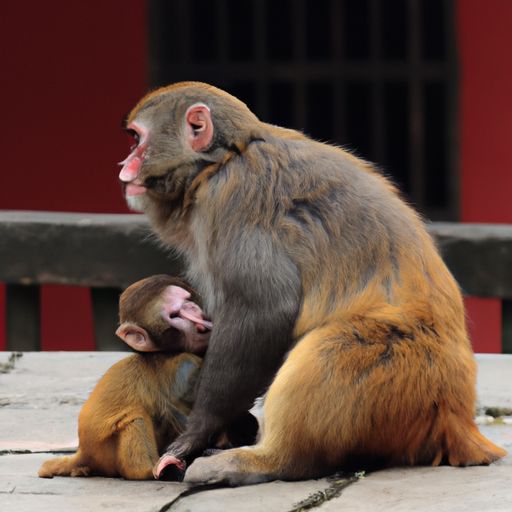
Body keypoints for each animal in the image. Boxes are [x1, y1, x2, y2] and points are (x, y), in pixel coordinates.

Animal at [38, 276, 258, 480]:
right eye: (174, 315)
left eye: (188, 301)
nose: (197, 314)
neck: (167, 352)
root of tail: (84, 453)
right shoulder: (185, 366)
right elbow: (182, 410)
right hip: (106, 453)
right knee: (135, 420)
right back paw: (158, 470)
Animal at [118, 81, 506, 484]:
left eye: (137, 140)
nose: (123, 166)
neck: (222, 161)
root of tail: (456, 413)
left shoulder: (233, 199)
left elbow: (266, 310)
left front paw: (196, 433)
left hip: (401, 375)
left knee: (327, 348)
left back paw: (264, 461)